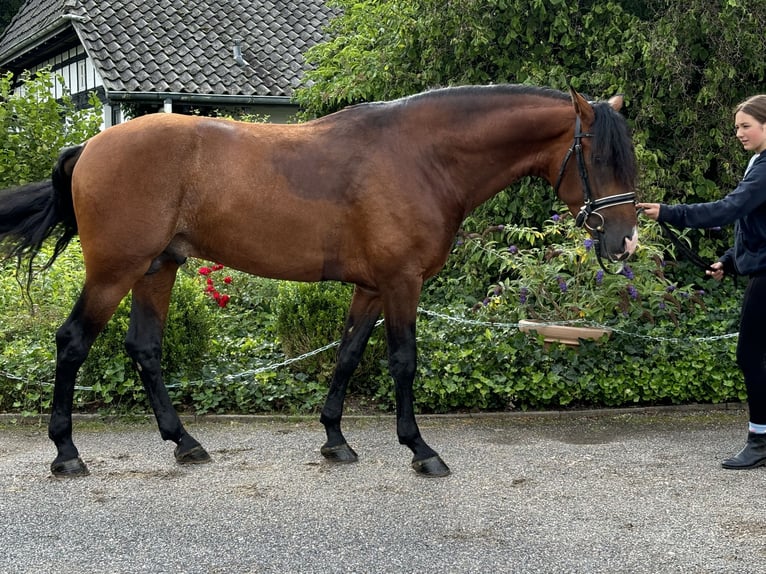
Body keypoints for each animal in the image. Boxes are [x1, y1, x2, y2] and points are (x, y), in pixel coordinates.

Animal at [0, 84, 640, 476]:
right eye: (600, 158)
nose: (625, 242)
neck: (423, 156)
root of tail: (89, 145)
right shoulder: (402, 282)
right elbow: (402, 361)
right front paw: (420, 448)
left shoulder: (372, 287)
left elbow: (349, 353)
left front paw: (336, 438)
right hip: (115, 270)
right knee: (72, 342)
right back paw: (67, 453)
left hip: (159, 267)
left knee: (145, 348)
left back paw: (185, 442)